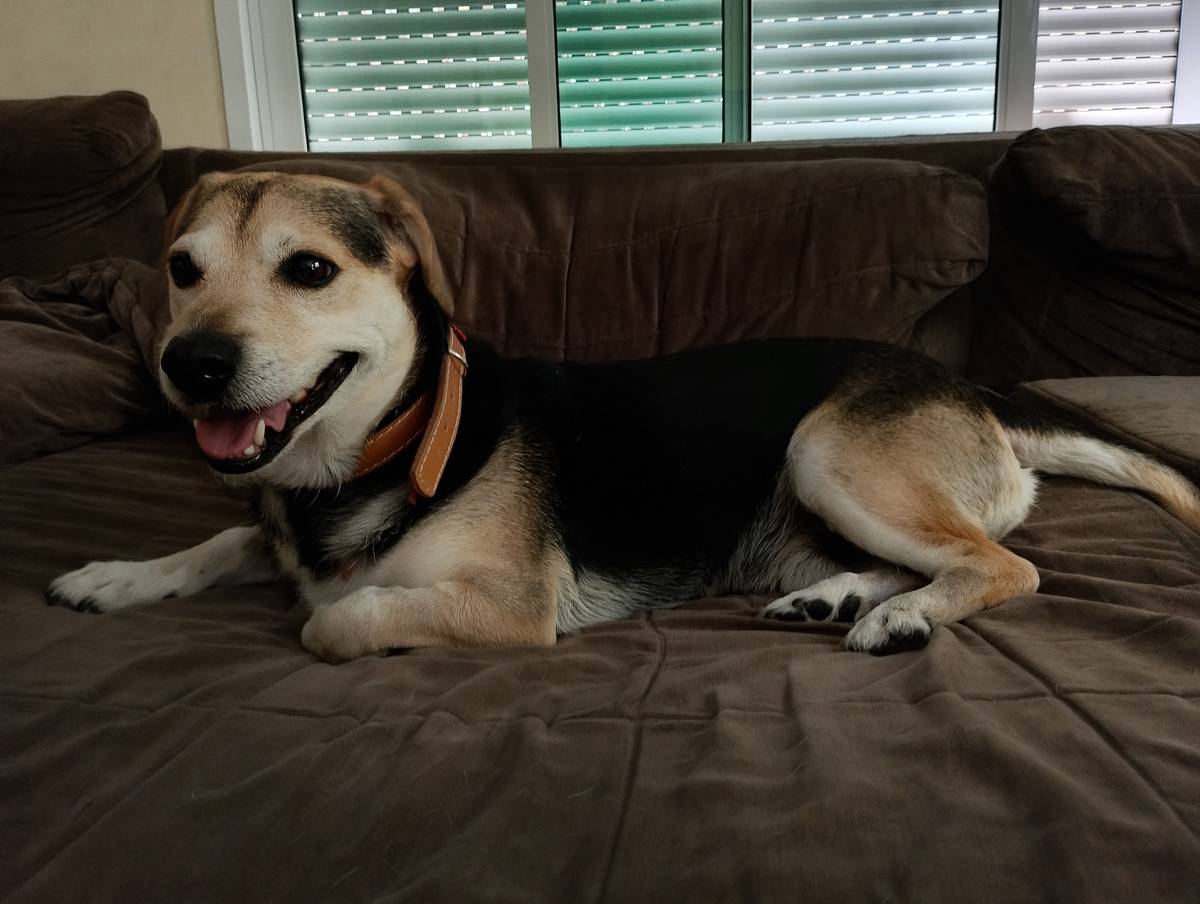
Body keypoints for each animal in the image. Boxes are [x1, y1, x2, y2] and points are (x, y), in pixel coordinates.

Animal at [45, 171, 1200, 662]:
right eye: (181, 270)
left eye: (310, 270)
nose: (189, 365)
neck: (382, 447)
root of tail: (974, 393)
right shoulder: (277, 514)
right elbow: (221, 540)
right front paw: (115, 577)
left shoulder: (514, 604)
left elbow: (330, 618)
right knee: (927, 558)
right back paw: (835, 599)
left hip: (827, 450)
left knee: (1003, 565)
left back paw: (899, 616)